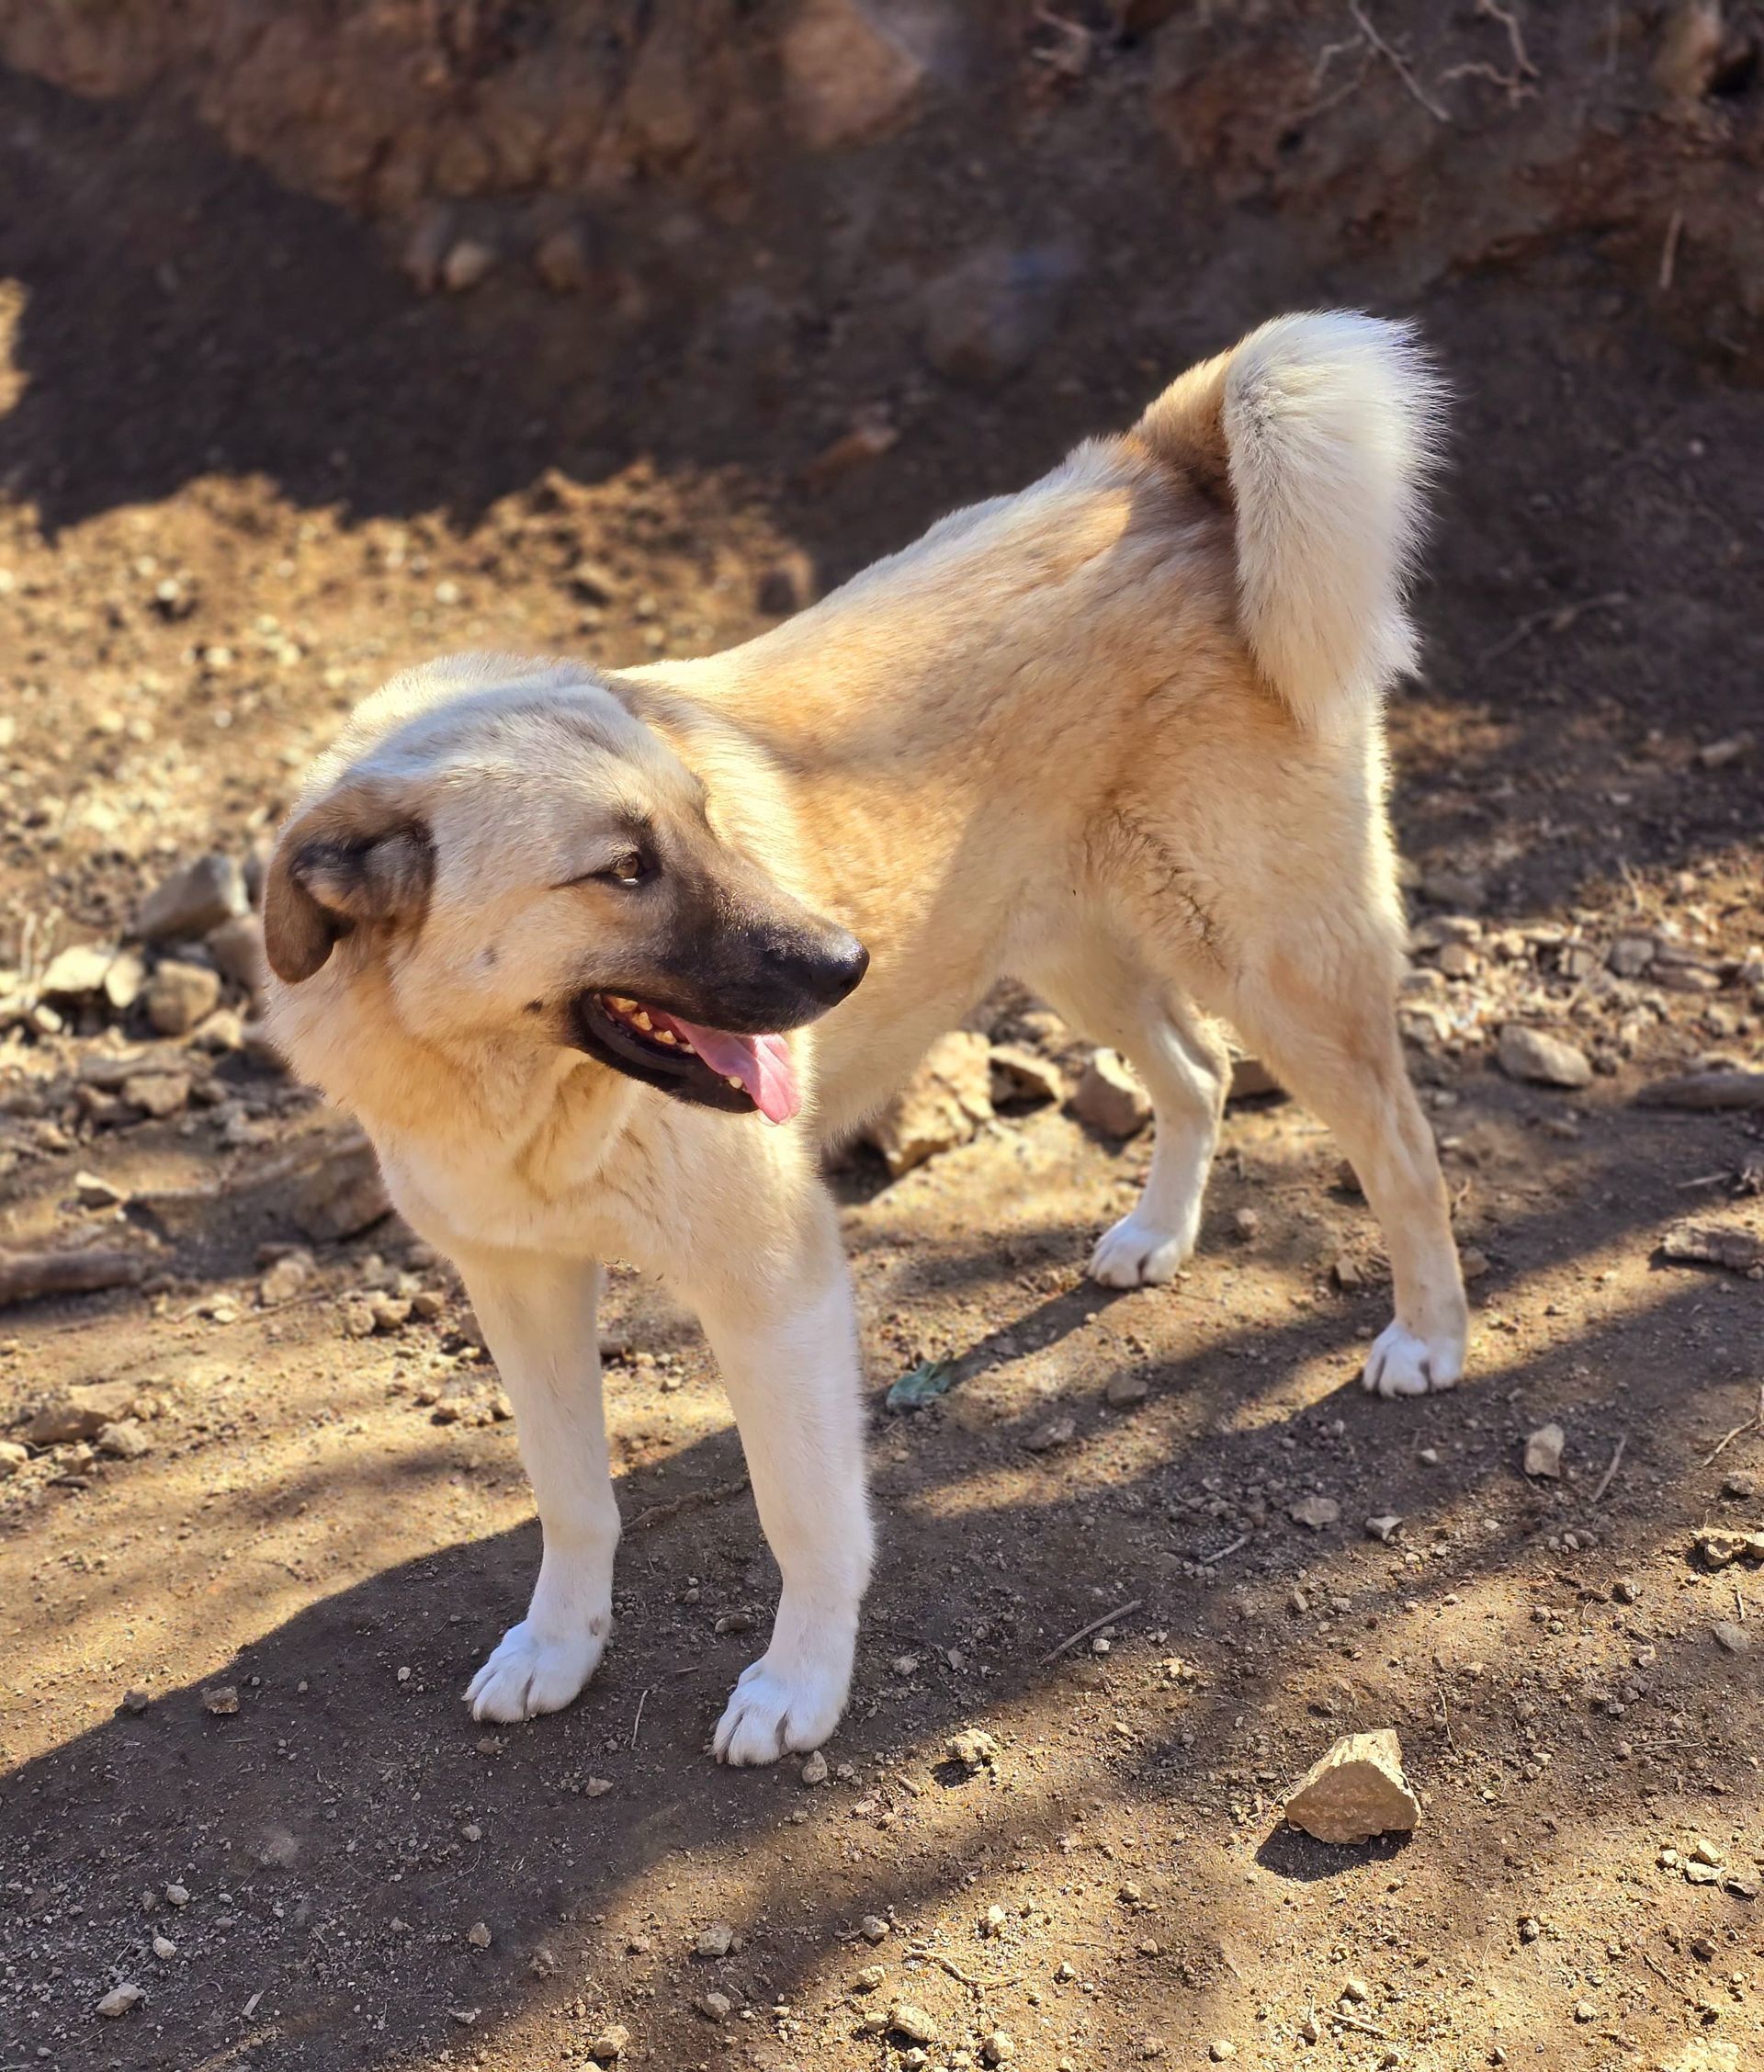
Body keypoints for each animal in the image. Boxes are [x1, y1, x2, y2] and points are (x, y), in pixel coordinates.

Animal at [264, 311, 1467, 1764]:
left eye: (704, 820)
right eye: (622, 868)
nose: (846, 964)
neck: (521, 1085)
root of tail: (1157, 466)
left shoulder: (775, 1284)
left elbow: (803, 1511)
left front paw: (797, 1685)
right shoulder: (520, 1284)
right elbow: (572, 1494)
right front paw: (558, 1646)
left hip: (1272, 958)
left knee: (1401, 1147)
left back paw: (1429, 1336)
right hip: (1076, 952)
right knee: (1198, 1070)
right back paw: (1155, 1233)